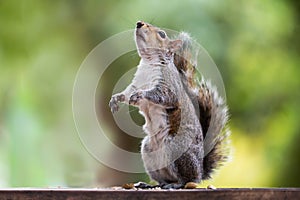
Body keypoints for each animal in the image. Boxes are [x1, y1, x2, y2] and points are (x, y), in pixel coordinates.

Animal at [110, 21, 230, 189]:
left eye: (162, 34)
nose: (139, 23)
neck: (148, 63)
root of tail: (200, 172)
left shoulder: (169, 86)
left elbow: (164, 96)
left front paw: (142, 94)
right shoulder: (135, 84)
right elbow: (126, 95)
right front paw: (115, 99)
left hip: (176, 149)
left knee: (185, 179)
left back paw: (177, 184)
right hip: (148, 151)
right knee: (163, 179)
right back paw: (150, 184)